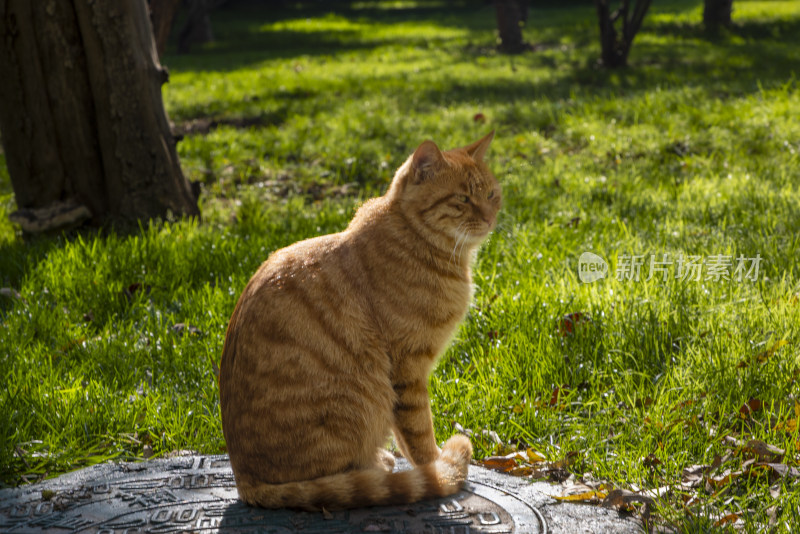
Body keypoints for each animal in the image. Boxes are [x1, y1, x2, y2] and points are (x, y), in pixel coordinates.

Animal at [219, 132, 500, 512]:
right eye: (463, 199)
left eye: (491, 194)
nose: (489, 218)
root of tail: (244, 481)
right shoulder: (408, 367)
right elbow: (418, 432)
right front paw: (438, 466)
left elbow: (406, 434)